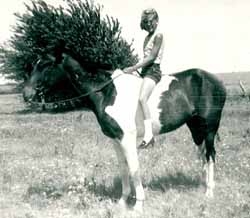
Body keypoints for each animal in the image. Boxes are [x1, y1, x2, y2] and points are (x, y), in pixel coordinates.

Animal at [23, 53, 227, 213]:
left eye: (46, 65)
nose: (27, 94)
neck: (107, 91)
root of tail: (216, 80)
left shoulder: (127, 138)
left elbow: (134, 167)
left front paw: (138, 204)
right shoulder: (115, 139)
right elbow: (123, 167)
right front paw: (122, 202)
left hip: (209, 128)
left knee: (210, 155)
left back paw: (209, 191)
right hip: (195, 128)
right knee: (201, 154)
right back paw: (202, 185)